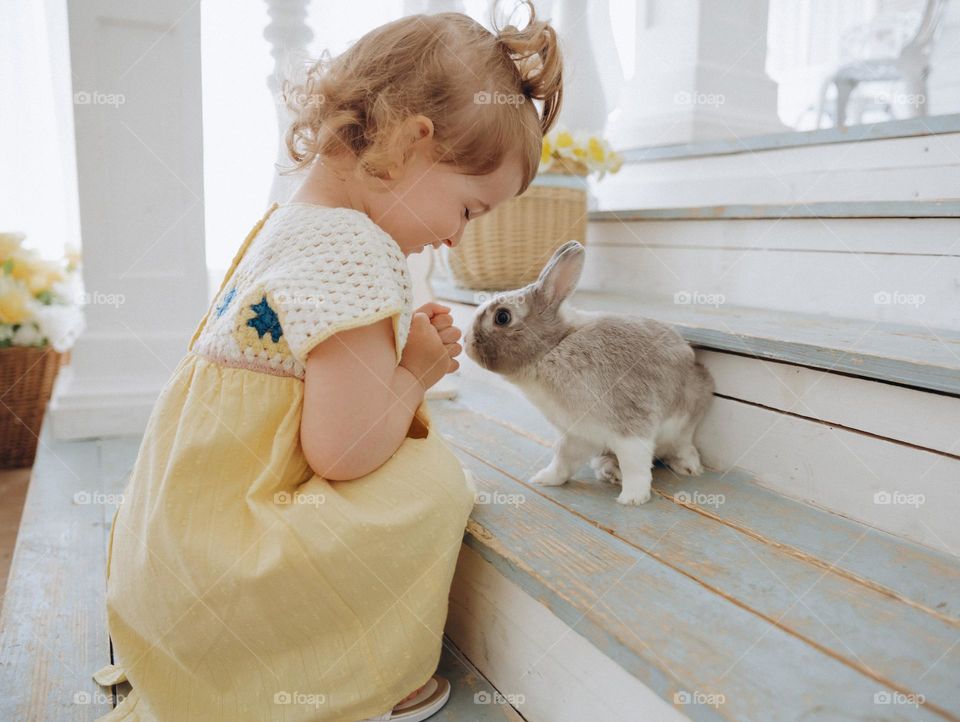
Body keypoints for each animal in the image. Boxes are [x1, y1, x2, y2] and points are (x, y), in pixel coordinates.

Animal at [464, 239, 712, 504]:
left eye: (502, 317)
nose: (466, 342)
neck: (553, 348)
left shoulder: (631, 428)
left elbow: (635, 464)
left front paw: (633, 498)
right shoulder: (576, 434)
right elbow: (562, 460)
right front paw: (544, 479)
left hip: (685, 420)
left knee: (682, 445)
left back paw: (689, 467)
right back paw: (611, 471)